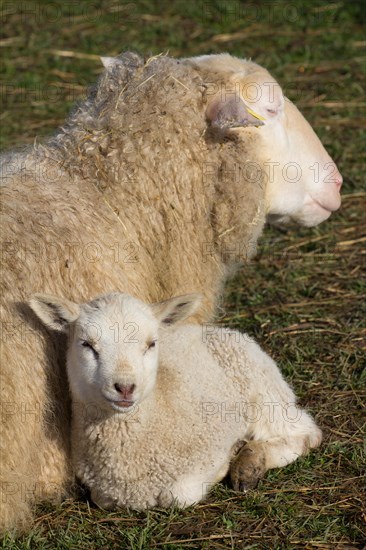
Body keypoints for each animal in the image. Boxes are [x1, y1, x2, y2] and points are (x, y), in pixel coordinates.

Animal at [30, 292, 322, 512]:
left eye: (151, 343)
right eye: (87, 345)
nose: (125, 388)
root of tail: (223, 330)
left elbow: (179, 496)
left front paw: (226, 464)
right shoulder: (101, 490)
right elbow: (102, 499)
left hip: (265, 393)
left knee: (306, 434)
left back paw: (248, 464)